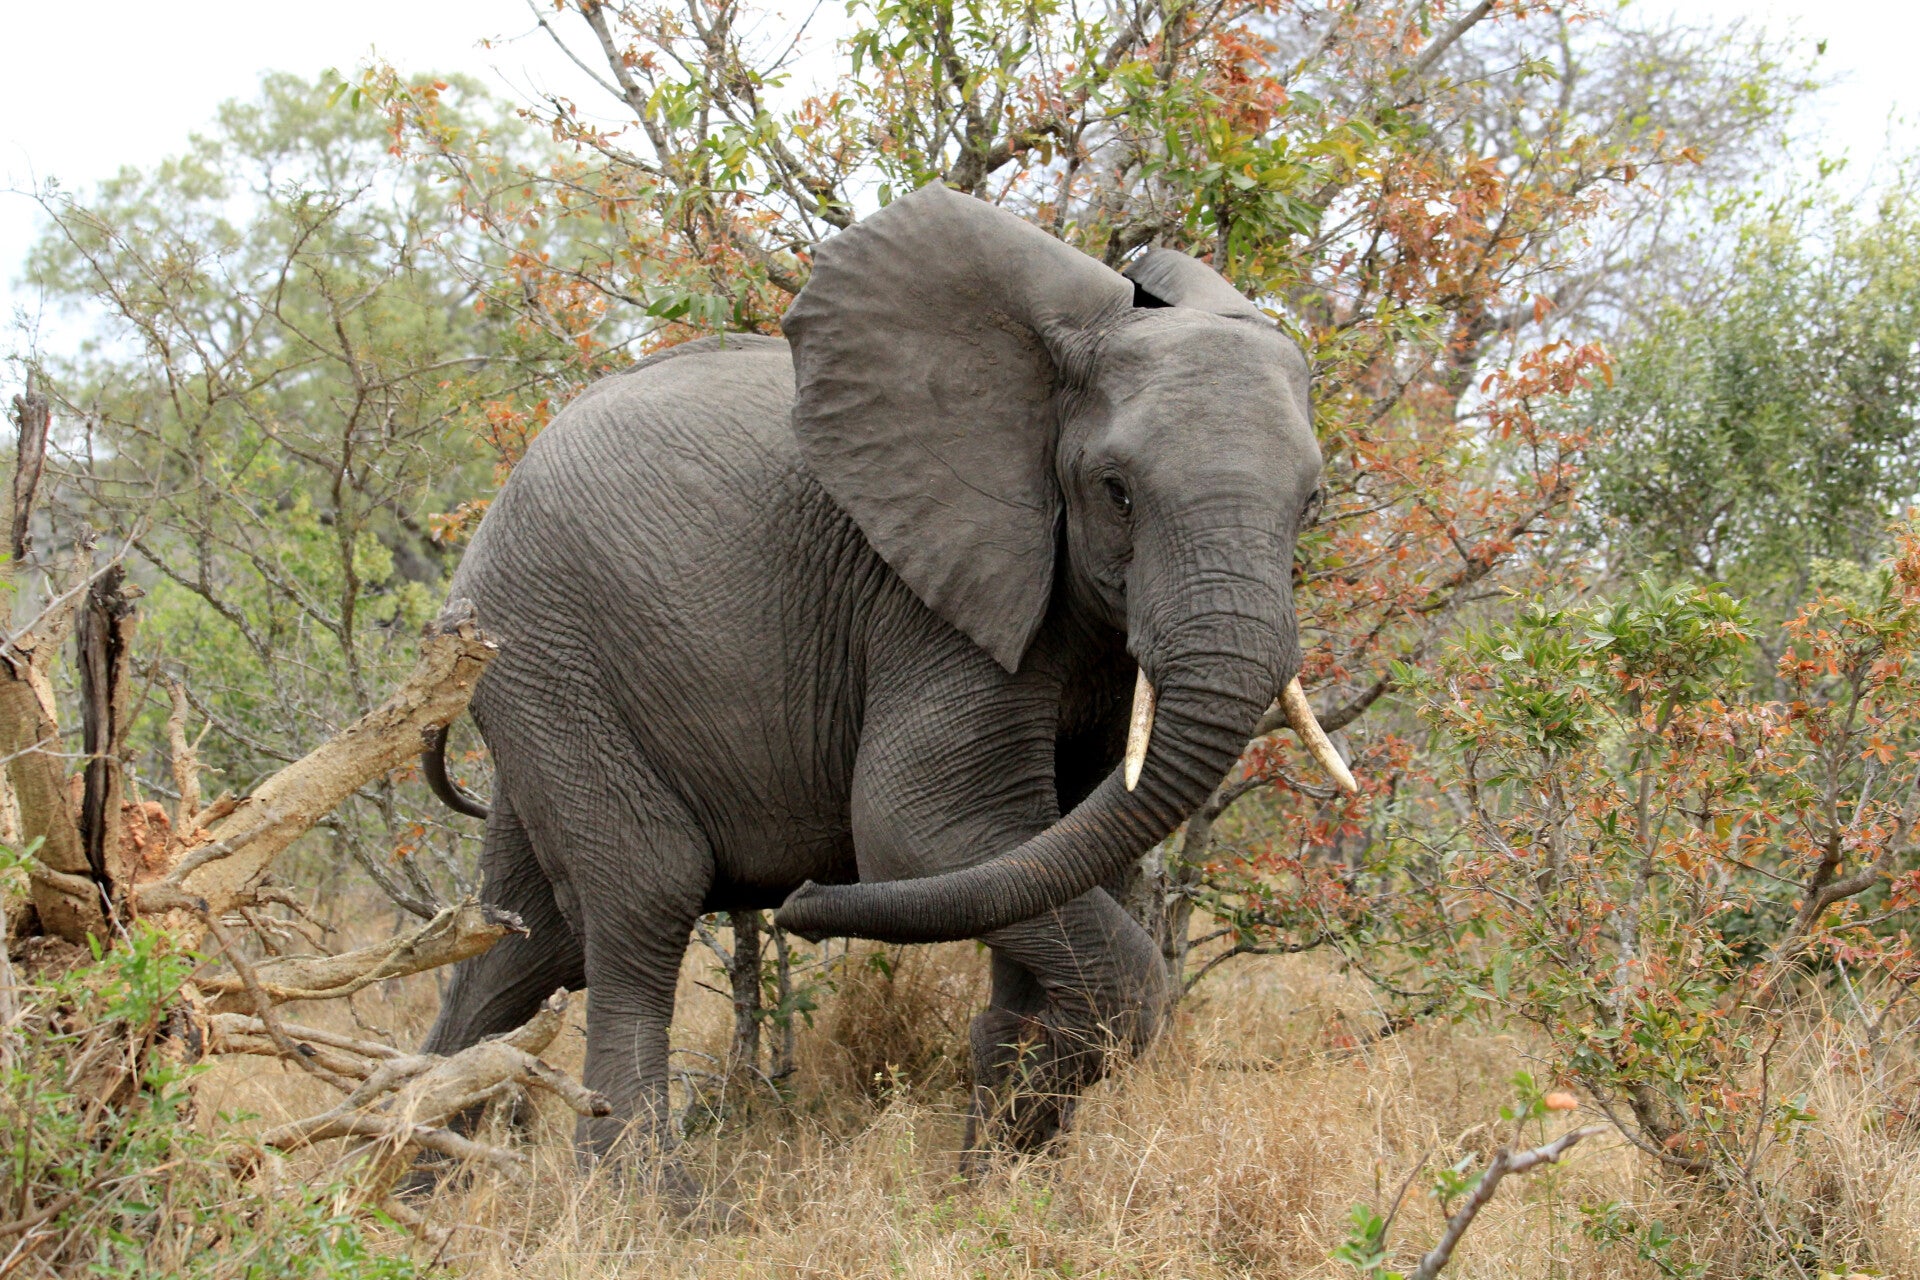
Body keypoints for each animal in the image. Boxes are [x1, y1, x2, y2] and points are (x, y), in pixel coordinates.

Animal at [419, 181, 1351, 1175]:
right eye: (1116, 490)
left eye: (1314, 503)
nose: (801, 903)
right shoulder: (926, 600)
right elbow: (922, 834)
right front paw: (1011, 1138)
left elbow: (1044, 848)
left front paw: (1001, 1164)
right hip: (546, 649)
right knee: (642, 899)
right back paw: (638, 1199)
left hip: (537, 676)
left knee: (526, 942)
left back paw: (407, 1173)